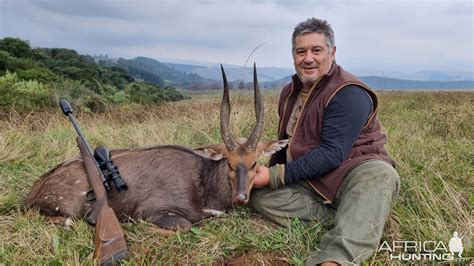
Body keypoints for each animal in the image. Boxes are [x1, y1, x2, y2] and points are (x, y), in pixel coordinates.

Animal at [25, 64, 288, 231]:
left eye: (254, 162)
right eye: (230, 164)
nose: (241, 197)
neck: (203, 182)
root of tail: (34, 191)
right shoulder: (151, 211)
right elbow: (184, 226)